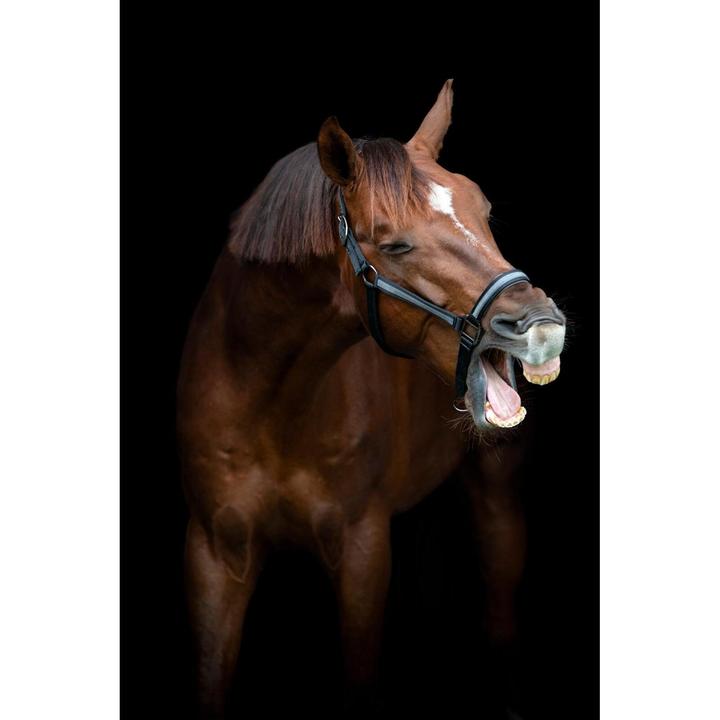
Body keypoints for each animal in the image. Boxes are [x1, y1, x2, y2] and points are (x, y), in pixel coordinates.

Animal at [177, 79, 566, 718]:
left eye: (485, 212)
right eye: (398, 245)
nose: (541, 327)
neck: (272, 406)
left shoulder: (362, 548)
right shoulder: (215, 552)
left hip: (499, 497)